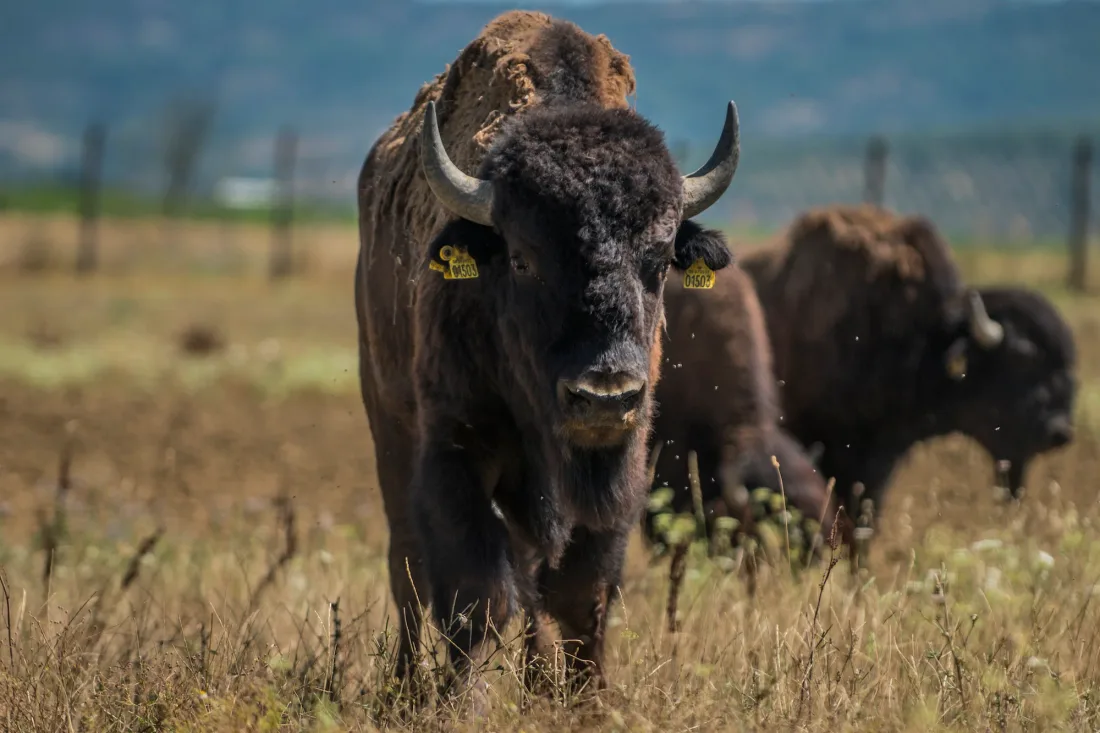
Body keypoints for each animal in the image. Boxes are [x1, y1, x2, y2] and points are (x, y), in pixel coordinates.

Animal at [355, 11, 740, 695]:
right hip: (389, 429)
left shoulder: (620, 464)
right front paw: (463, 702)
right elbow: (476, 595)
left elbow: (581, 594)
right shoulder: (458, 448)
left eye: (659, 259)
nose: (603, 396)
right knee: (407, 570)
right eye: (521, 258)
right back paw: (404, 684)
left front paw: (587, 698)